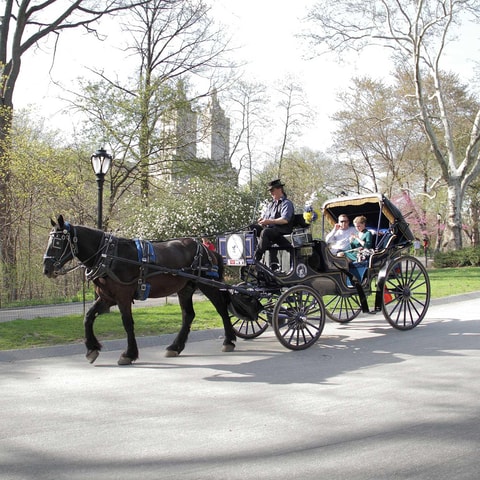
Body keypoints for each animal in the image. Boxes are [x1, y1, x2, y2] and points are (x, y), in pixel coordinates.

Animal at [42, 216, 237, 366]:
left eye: (57, 242)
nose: (46, 269)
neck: (109, 256)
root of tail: (206, 248)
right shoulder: (106, 298)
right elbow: (88, 317)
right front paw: (92, 349)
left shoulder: (123, 296)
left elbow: (127, 323)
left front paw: (128, 354)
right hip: (185, 288)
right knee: (188, 315)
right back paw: (175, 347)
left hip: (208, 284)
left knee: (221, 308)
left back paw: (229, 341)